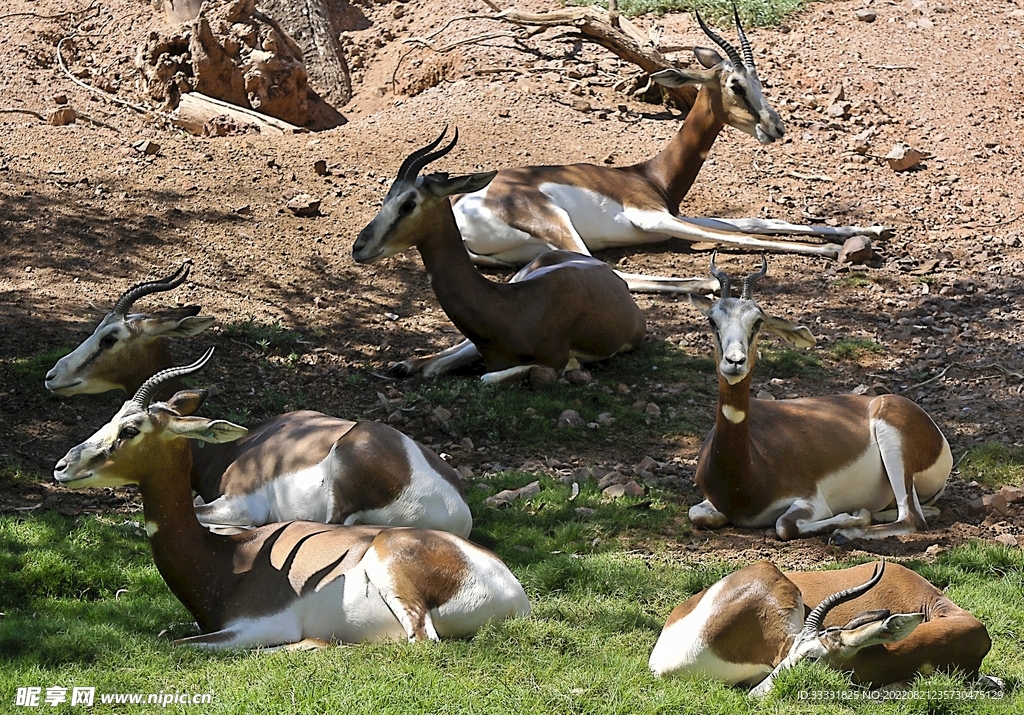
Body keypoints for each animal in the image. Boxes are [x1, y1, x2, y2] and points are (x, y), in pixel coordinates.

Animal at [53, 351, 530, 649]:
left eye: (130, 429)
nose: (62, 466)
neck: (223, 560)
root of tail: (513, 590)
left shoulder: (251, 626)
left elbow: (176, 645)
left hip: (387, 564)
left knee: (419, 640)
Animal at [352, 127, 647, 383]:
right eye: (386, 199)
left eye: (408, 204)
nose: (359, 247)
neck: (511, 307)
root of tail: (607, 272)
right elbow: (438, 366)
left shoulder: (554, 361)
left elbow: (486, 378)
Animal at [450, 11, 890, 294]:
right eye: (736, 85)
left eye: (759, 81)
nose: (775, 128)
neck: (651, 176)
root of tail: (460, 206)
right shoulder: (654, 217)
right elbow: (736, 234)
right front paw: (836, 249)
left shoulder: (675, 213)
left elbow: (757, 221)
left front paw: (871, 230)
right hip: (559, 226)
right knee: (612, 273)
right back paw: (708, 282)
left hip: (534, 250)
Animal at [688, 254, 951, 541]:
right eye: (712, 321)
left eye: (757, 322)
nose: (734, 361)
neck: (746, 475)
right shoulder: (709, 502)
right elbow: (697, 514)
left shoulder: (811, 501)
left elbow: (784, 525)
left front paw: (852, 518)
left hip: (894, 449)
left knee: (912, 518)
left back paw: (848, 532)